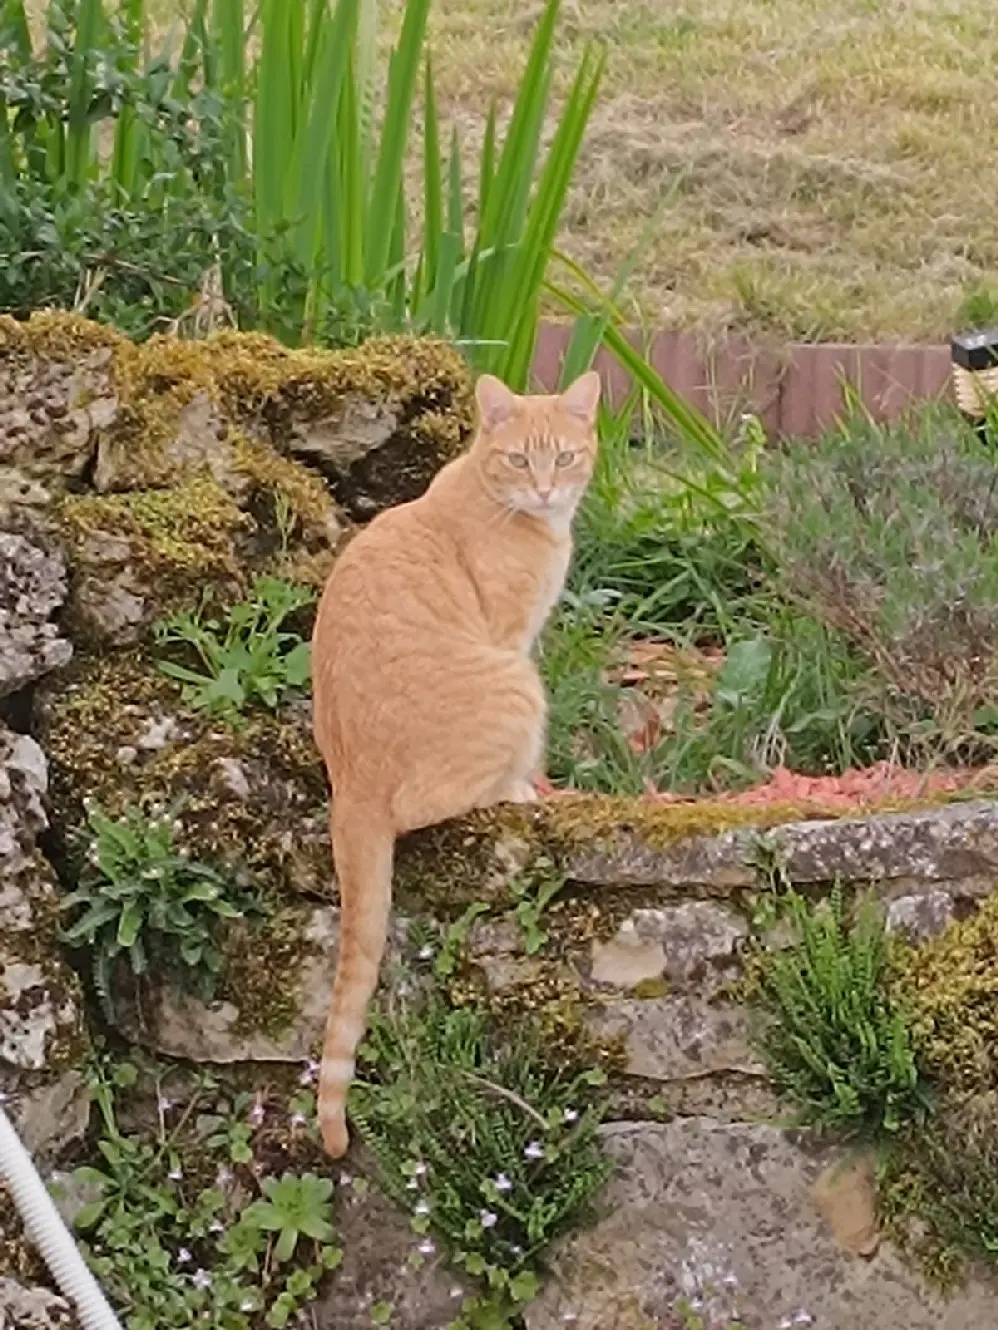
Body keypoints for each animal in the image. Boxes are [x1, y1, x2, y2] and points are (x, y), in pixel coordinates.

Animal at [312, 369, 601, 1159]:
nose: (544, 490)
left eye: (565, 457)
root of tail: (350, 782)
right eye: (519, 459)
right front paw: (537, 784)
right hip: (516, 683)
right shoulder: (513, 637)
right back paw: (522, 792)